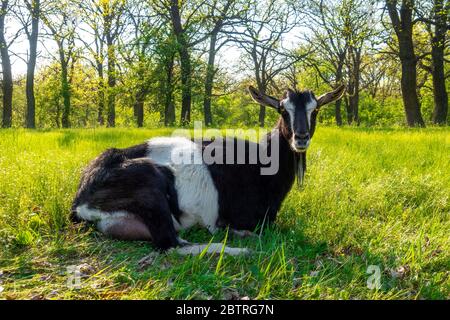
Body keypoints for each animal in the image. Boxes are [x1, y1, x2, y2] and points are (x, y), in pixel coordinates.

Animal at [72, 84, 344, 255]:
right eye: (282, 109)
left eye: (315, 109)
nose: (301, 138)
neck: (261, 163)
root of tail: (80, 201)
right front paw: (238, 234)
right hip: (149, 184)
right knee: (170, 245)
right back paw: (241, 249)